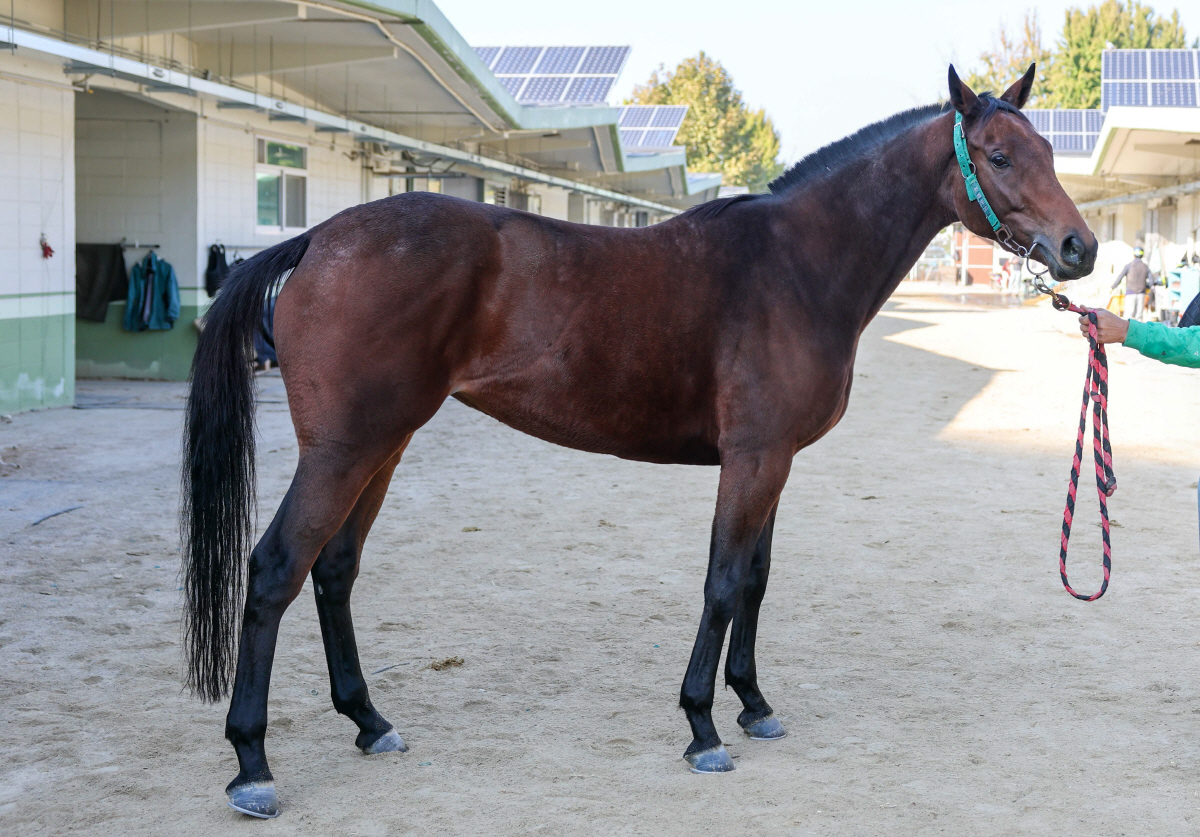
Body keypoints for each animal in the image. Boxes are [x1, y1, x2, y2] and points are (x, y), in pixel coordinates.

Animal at [182, 64, 1096, 818]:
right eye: (999, 155)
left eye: (1049, 148)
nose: (1079, 248)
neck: (796, 263)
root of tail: (319, 239)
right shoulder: (753, 459)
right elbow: (723, 583)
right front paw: (703, 727)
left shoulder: (776, 461)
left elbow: (757, 580)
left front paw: (754, 706)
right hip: (344, 450)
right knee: (276, 569)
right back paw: (252, 765)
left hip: (386, 442)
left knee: (333, 570)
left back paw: (371, 721)